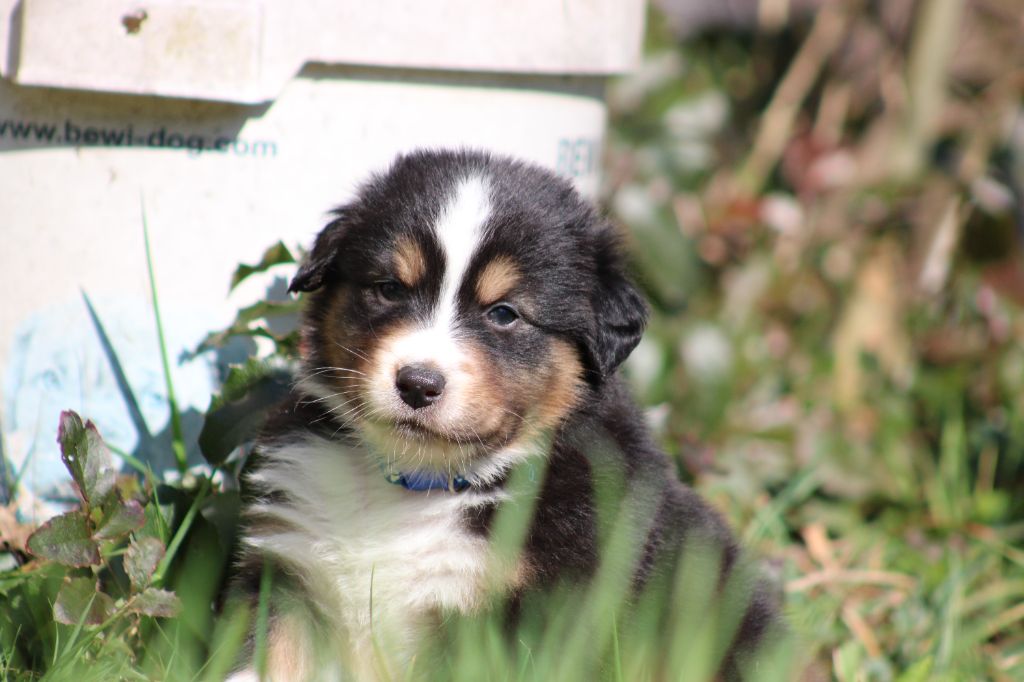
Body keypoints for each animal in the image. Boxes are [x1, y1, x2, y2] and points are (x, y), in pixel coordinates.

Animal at [230, 150, 774, 679]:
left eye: (504, 314)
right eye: (389, 288)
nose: (418, 384)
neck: (418, 483)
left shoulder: (530, 614)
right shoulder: (288, 573)